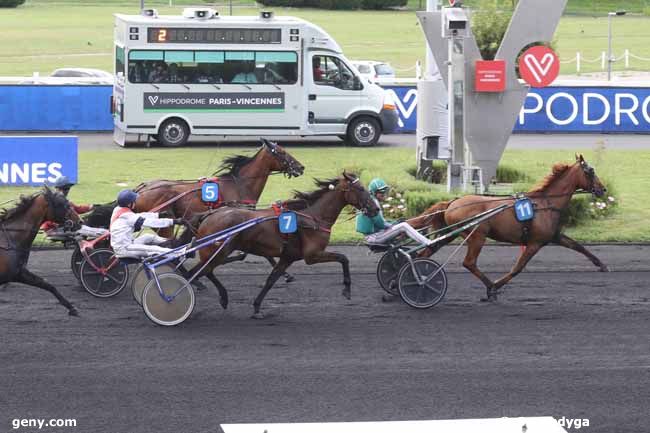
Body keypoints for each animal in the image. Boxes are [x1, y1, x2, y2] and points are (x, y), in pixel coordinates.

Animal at [0, 187, 81, 316]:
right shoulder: (14, 275)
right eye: (63, 204)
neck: (11, 238)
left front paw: (72, 308)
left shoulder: (19, 273)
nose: (80, 221)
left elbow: (47, 284)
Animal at [185, 172, 378, 318]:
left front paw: (257, 308)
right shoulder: (312, 255)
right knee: (200, 272)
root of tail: (209, 215)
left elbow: (271, 280)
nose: (375, 209)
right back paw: (219, 297)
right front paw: (346, 289)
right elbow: (343, 258)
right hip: (218, 252)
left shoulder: (288, 257)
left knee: (201, 272)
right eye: (361, 188)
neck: (312, 217)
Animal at [410, 154, 608, 300]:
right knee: (469, 263)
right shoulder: (535, 242)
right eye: (591, 171)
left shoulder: (553, 236)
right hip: (477, 236)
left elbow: (578, 246)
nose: (603, 189)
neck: (546, 203)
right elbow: (517, 268)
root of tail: (453, 202)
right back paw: (490, 286)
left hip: (451, 233)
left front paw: (602, 265)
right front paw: (496, 285)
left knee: (426, 252)